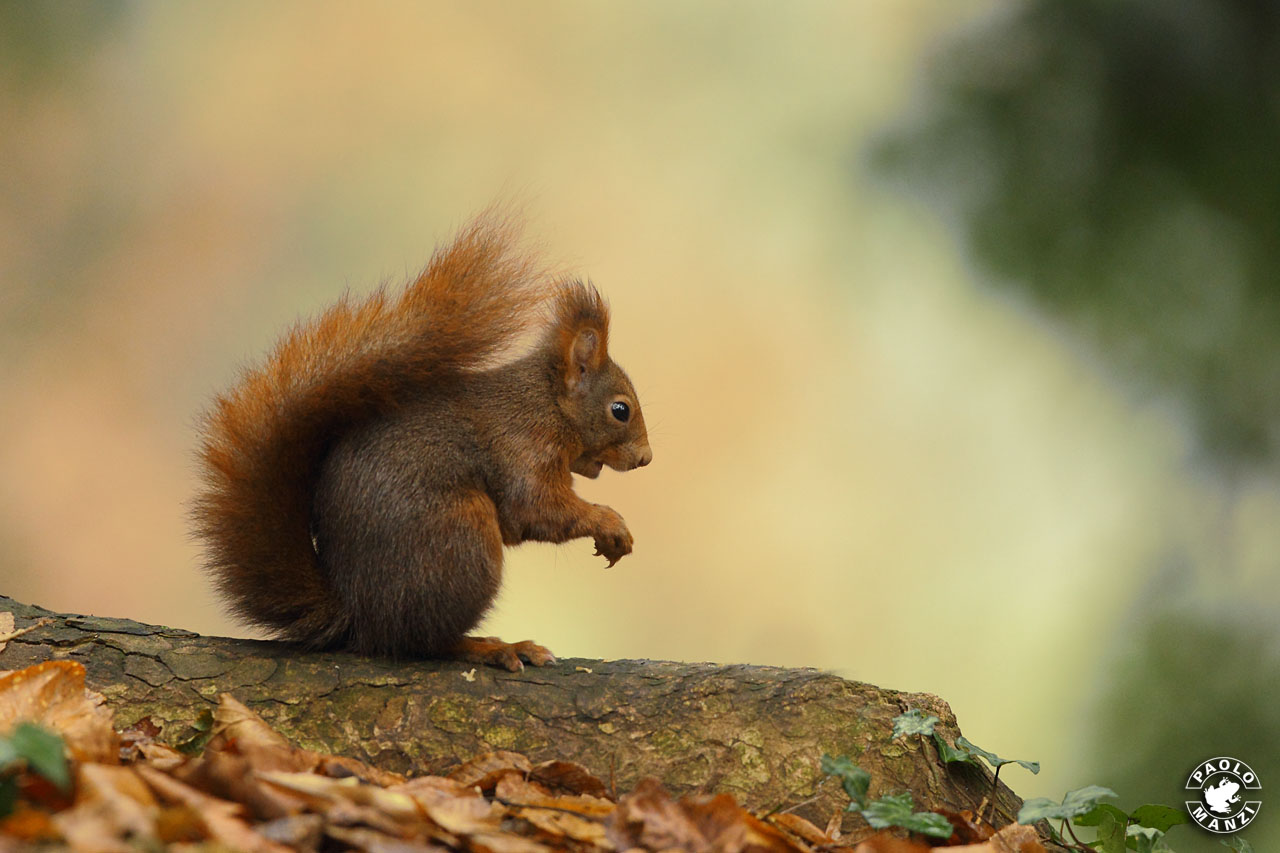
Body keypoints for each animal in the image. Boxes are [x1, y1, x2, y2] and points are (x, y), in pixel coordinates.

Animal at [192, 214, 651, 671]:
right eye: (620, 410)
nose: (646, 459)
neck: (547, 406)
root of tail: (360, 617)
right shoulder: (524, 449)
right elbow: (539, 509)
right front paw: (611, 524)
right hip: (461, 541)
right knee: (424, 642)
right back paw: (494, 647)